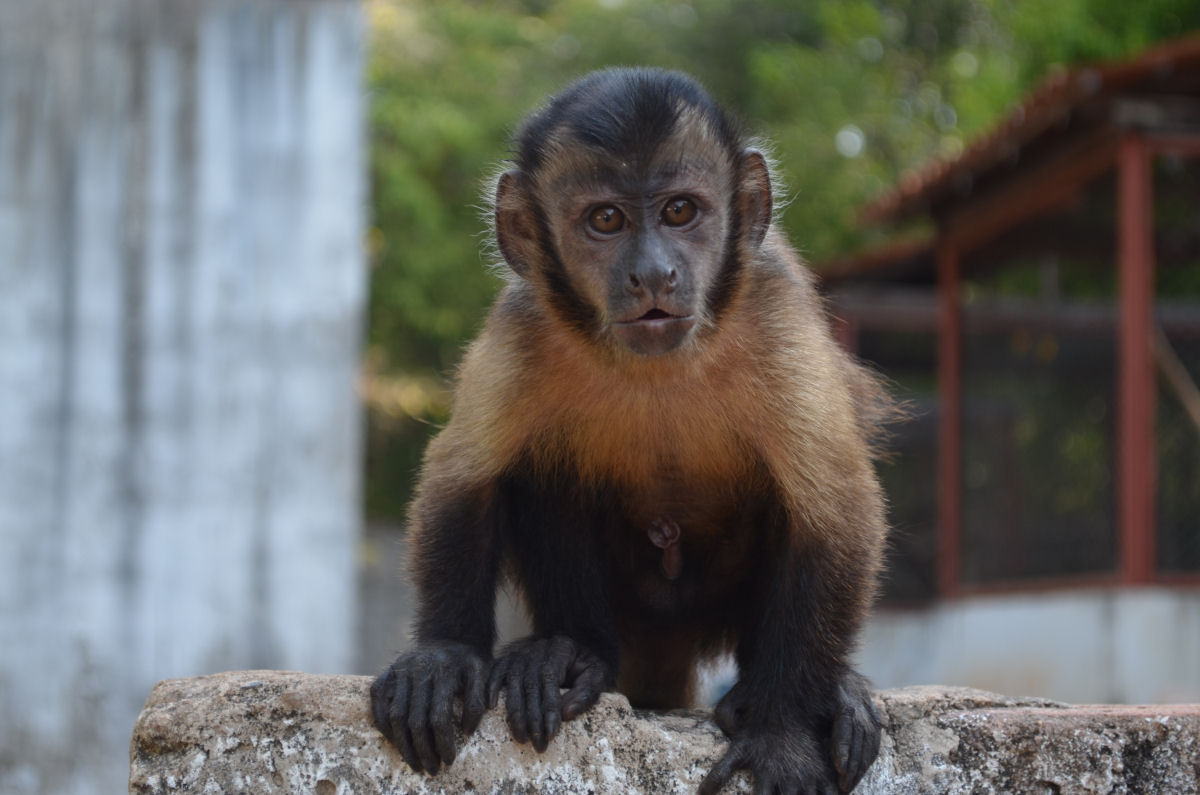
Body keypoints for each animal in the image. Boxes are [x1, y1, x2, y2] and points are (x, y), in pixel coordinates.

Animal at [370, 67, 888, 794]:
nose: (653, 273)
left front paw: (782, 732)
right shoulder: (523, 323)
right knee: (540, 469)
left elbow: (837, 511)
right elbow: (461, 478)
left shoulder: (774, 310)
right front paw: (442, 656)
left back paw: (816, 695)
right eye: (606, 220)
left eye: (680, 212)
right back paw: (570, 656)